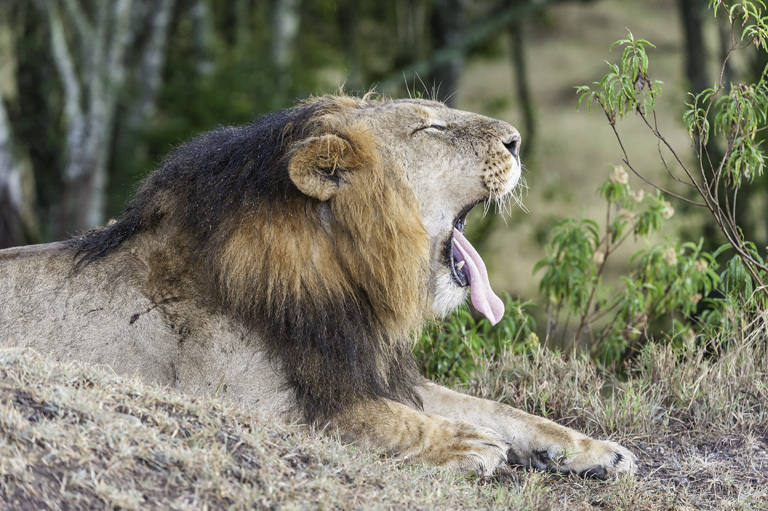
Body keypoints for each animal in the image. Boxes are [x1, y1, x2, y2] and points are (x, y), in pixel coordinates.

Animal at [0, 94, 636, 478]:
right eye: (430, 126)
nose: (516, 140)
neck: (341, 283)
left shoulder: (362, 367)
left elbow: (499, 408)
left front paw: (597, 450)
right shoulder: (242, 398)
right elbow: (364, 419)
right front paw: (464, 443)